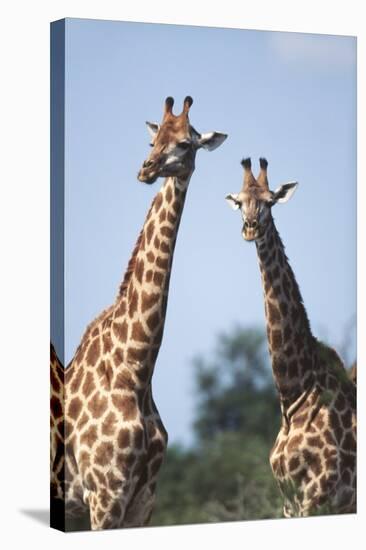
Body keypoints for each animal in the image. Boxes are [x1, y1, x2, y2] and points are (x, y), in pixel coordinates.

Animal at [50, 96, 229, 532]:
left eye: (184, 143)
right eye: (153, 139)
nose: (145, 169)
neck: (135, 370)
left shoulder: (141, 503)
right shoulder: (104, 496)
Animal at [224, 158, 356, 516]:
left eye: (270, 202)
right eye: (240, 202)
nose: (251, 228)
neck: (294, 391)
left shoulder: (319, 495)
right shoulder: (288, 502)